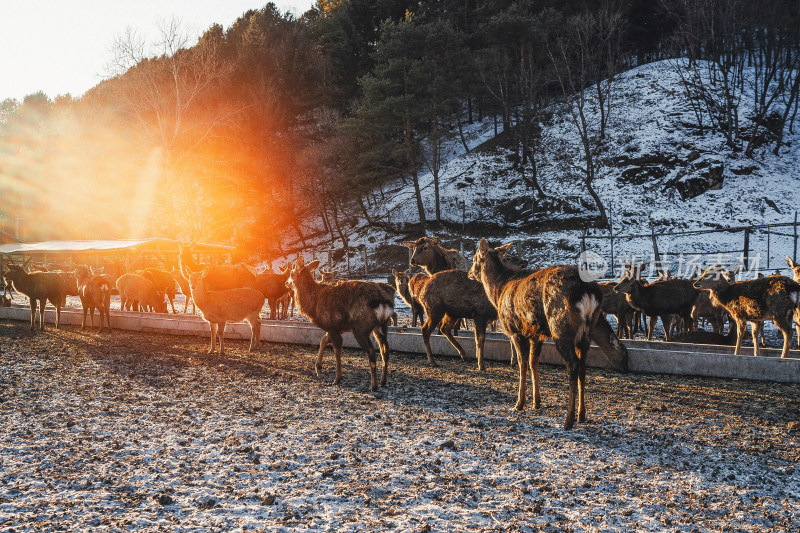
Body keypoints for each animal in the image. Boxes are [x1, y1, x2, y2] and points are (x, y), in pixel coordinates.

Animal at [286, 256, 396, 392]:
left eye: (291, 273)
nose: (286, 283)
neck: (313, 305)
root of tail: (383, 303)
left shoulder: (332, 325)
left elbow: (337, 351)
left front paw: (337, 378)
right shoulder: (336, 327)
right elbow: (323, 340)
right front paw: (318, 368)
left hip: (361, 328)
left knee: (371, 351)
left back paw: (374, 385)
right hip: (382, 326)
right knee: (385, 349)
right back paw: (383, 381)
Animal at [468, 239, 624, 430]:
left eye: (475, 257)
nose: (469, 272)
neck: (498, 292)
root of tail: (588, 291)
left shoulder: (516, 331)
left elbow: (522, 364)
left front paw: (519, 404)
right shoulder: (536, 334)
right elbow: (534, 363)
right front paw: (537, 402)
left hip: (560, 327)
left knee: (572, 365)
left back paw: (568, 420)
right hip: (586, 331)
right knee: (582, 366)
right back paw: (582, 414)